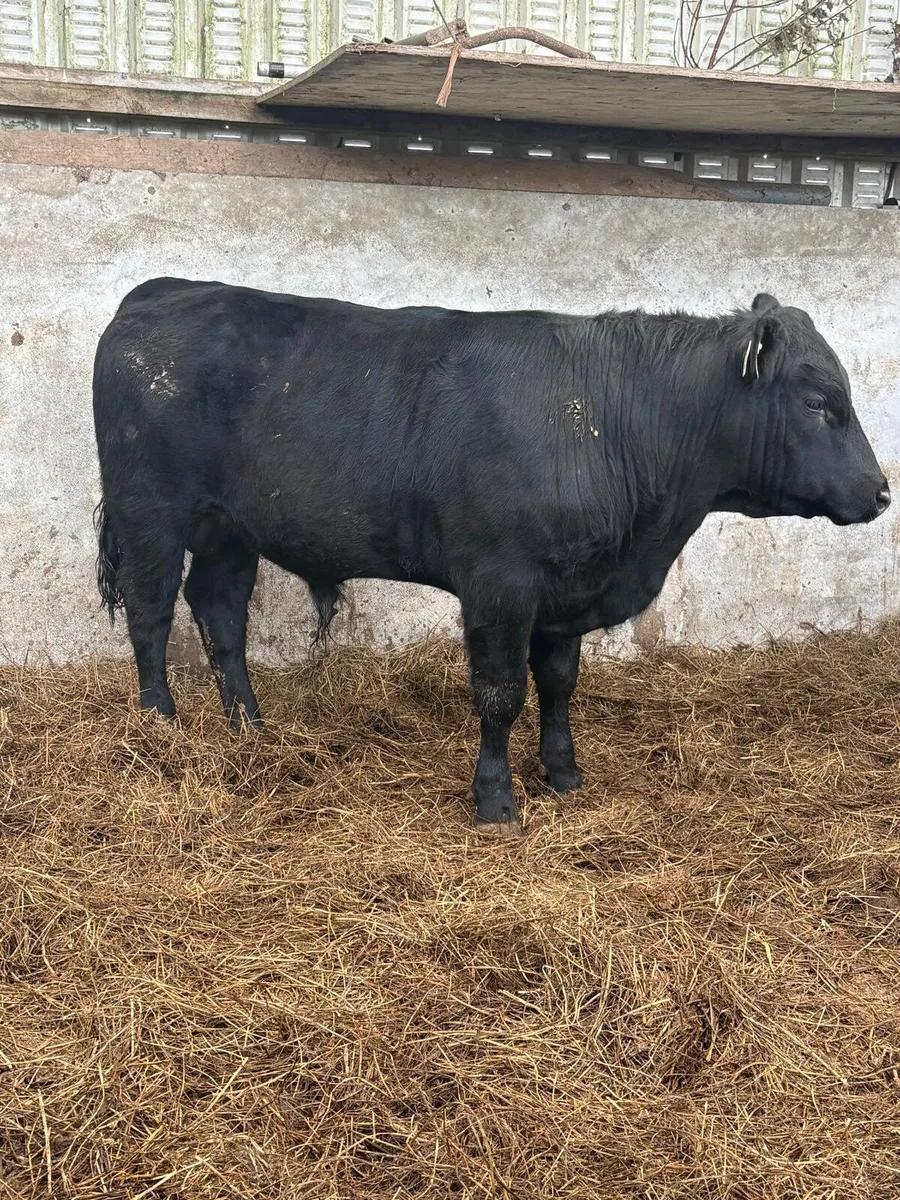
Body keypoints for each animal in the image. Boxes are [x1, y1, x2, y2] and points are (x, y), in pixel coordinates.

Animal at [92, 279, 890, 835]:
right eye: (818, 402)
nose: (881, 492)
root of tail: (156, 293)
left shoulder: (566, 592)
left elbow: (560, 684)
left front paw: (564, 773)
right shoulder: (499, 584)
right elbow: (502, 693)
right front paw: (496, 800)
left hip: (230, 529)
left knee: (219, 615)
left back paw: (250, 728)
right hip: (152, 510)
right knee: (152, 613)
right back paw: (160, 726)